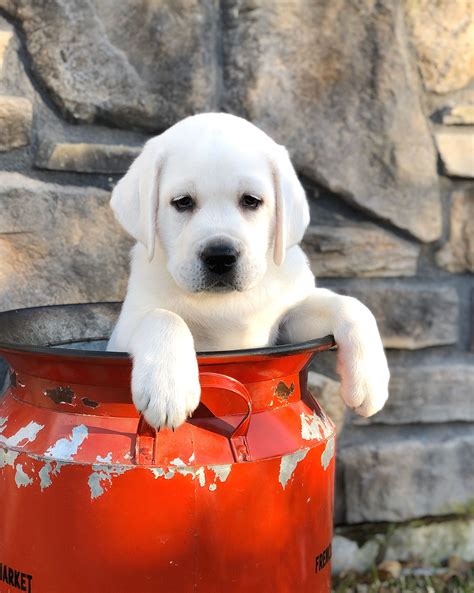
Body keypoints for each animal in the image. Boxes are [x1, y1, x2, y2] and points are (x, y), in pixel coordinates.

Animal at [108, 112, 388, 426]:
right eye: (182, 202)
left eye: (251, 201)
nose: (220, 257)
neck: (223, 303)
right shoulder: (126, 328)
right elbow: (163, 316)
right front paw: (167, 389)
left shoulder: (289, 316)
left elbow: (351, 306)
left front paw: (371, 381)